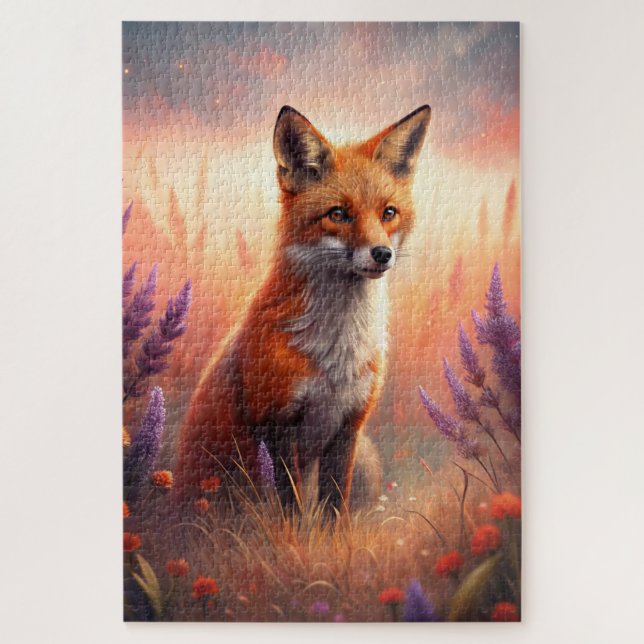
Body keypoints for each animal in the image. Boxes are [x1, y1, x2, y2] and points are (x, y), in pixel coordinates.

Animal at [175, 104, 431, 511]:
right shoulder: (277, 426)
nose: (382, 254)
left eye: (388, 213)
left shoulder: (348, 428)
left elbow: (334, 508)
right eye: (338, 214)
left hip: (366, 459)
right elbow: (290, 508)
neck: (336, 356)